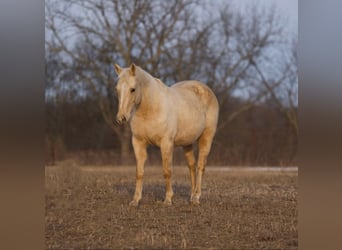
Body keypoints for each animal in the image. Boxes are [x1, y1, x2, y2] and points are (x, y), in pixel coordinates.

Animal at [113, 63, 218, 206]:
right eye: (117, 89)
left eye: (132, 89)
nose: (121, 118)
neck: (150, 108)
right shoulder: (138, 143)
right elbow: (139, 172)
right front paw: (135, 200)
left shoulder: (166, 143)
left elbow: (167, 171)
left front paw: (168, 199)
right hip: (187, 143)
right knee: (192, 166)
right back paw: (191, 196)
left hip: (206, 138)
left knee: (201, 166)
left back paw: (196, 197)